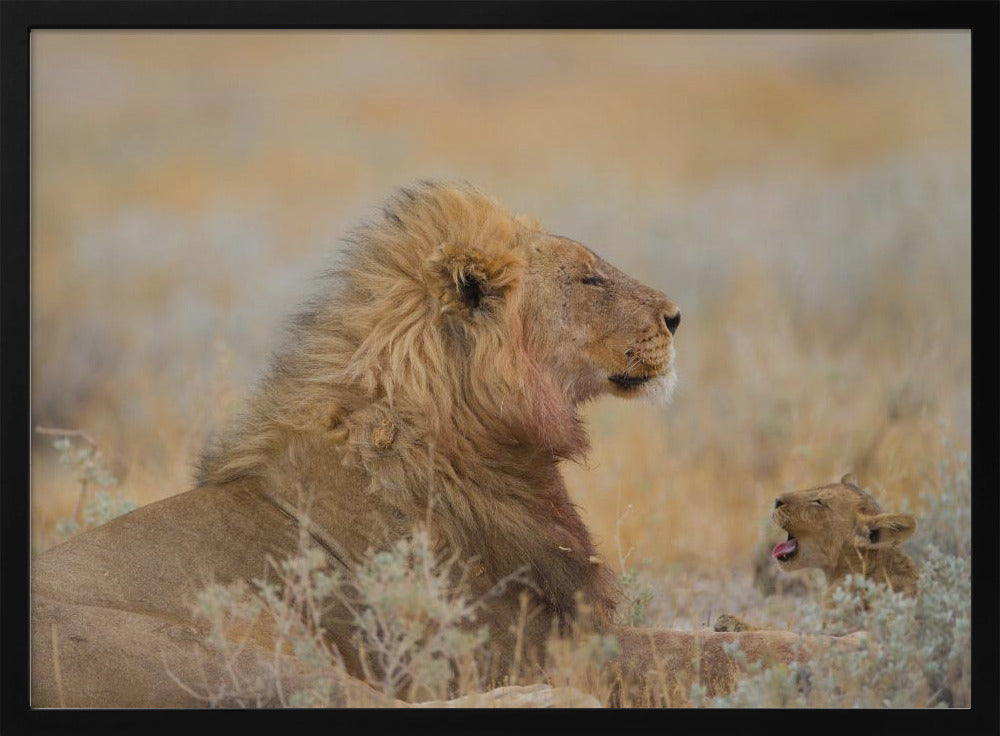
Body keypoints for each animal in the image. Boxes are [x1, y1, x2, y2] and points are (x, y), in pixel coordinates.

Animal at [32, 182, 858, 708]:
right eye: (588, 279)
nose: (677, 317)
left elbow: (718, 639)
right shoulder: (535, 641)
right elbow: (708, 654)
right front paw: (851, 646)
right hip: (239, 653)